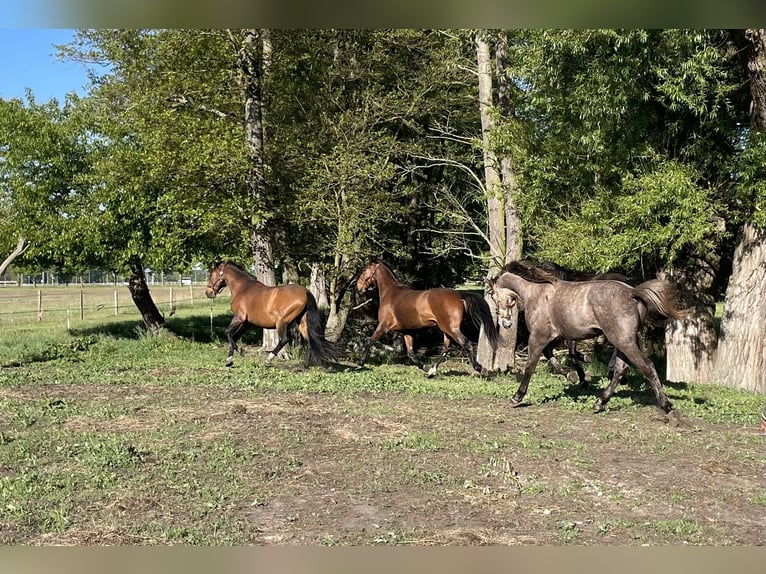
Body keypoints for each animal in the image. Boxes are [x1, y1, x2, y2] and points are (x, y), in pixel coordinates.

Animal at [205, 261, 337, 368]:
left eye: (211, 274)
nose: (208, 293)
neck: (243, 288)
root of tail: (306, 291)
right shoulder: (247, 323)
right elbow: (234, 336)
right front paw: (229, 360)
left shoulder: (239, 318)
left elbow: (228, 333)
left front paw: (239, 352)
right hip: (302, 322)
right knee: (308, 341)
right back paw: (305, 365)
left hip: (281, 323)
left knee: (284, 340)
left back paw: (268, 360)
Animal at [355, 258, 499, 376]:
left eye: (364, 271)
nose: (358, 287)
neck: (390, 293)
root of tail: (458, 295)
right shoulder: (407, 331)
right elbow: (411, 353)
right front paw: (424, 367)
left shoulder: (383, 326)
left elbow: (369, 341)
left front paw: (359, 365)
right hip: (446, 330)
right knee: (446, 348)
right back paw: (431, 371)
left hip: (450, 328)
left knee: (465, 344)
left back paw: (481, 369)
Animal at [488, 261, 688, 414]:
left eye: (494, 297)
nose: (506, 323)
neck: (536, 293)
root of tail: (632, 292)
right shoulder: (556, 337)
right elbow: (554, 356)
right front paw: (572, 376)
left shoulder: (538, 337)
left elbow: (530, 365)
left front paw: (517, 396)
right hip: (622, 342)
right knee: (620, 370)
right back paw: (599, 403)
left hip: (623, 341)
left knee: (646, 366)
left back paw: (666, 405)